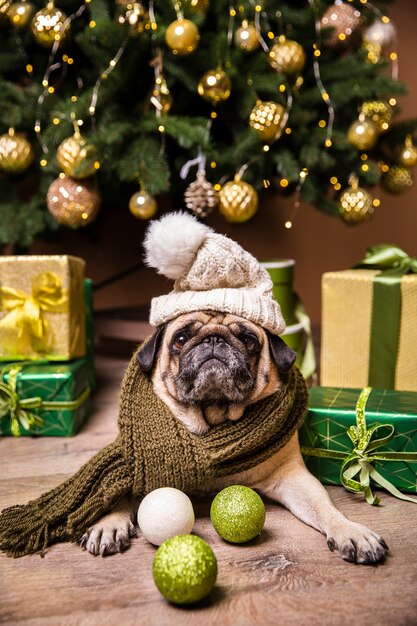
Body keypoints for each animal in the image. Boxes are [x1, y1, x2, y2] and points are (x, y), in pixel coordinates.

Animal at [80, 310, 386, 564]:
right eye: (181, 339)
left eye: (248, 340)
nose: (214, 339)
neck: (213, 422)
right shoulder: (131, 465)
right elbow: (113, 489)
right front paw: (108, 523)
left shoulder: (293, 476)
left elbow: (325, 507)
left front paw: (351, 531)